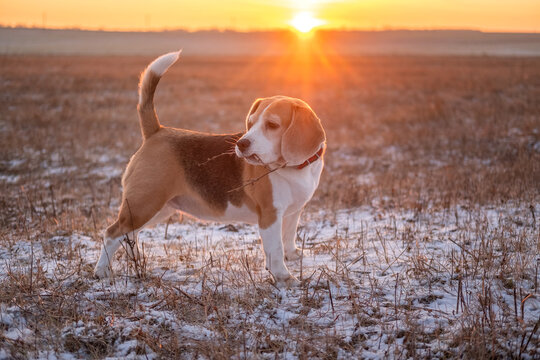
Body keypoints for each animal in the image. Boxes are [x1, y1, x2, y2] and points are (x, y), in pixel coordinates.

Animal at [94, 50, 324, 286]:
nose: (241, 144)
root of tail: (157, 131)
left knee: (130, 235)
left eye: (272, 125)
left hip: (157, 207)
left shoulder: (293, 211)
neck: (294, 168)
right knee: (112, 233)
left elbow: (288, 237)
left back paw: (137, 261)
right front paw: (284, 277)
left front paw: (292, 256)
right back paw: (102, 271)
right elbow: (276, 249)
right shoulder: (270, 215)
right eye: (251, 123)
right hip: (145, 203)